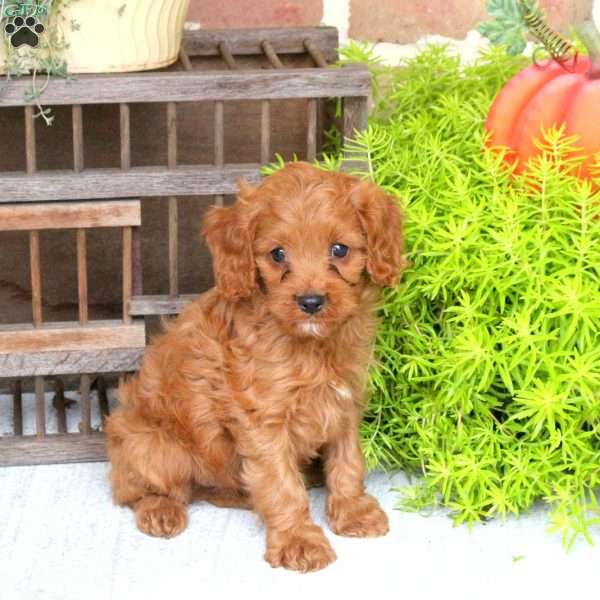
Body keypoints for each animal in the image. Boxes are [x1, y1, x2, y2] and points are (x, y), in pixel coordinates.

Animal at [105, 163, 406, 572]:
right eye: (277, 255)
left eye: (339, 250)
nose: (311, 302)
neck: (312, 346)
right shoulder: (263, 420)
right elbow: (281, 484)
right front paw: (298, 540)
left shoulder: (344, 403)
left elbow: (347, 462)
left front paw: (352, 512)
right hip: (153, 447)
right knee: (137, 489)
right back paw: (160, 510)